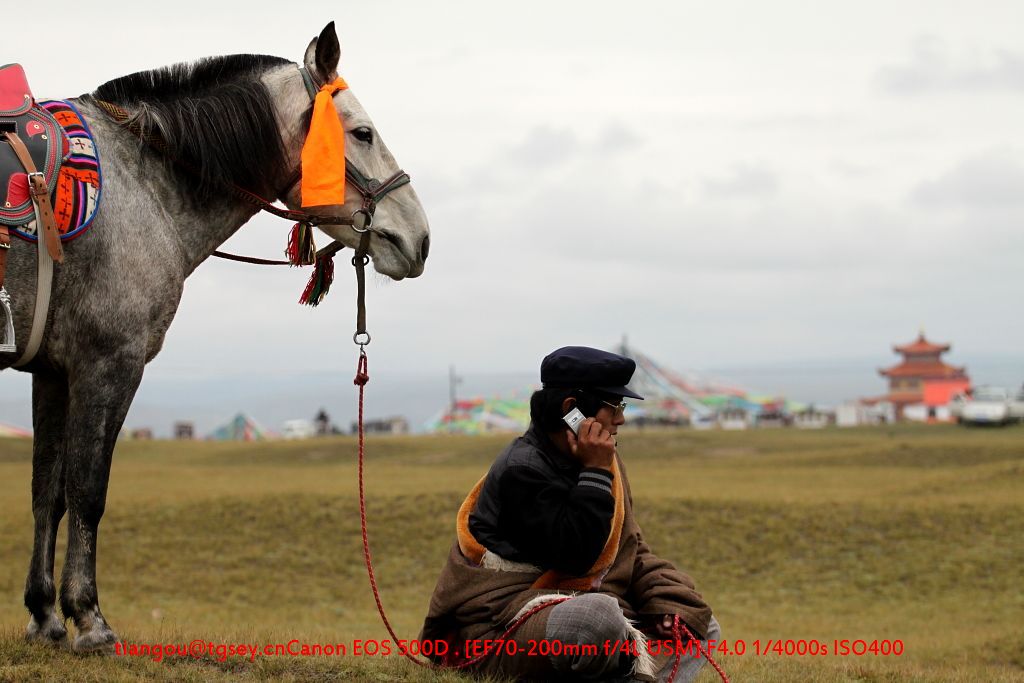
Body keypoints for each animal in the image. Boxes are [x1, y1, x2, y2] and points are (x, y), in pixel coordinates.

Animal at [1, 21, 432, 651]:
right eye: (362, 133)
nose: (419, 239)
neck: (143, 181)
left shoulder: (54, 372)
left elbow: (46, 493)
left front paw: (43, 614)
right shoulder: (109, 361)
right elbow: (87, 488)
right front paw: (89, 618)